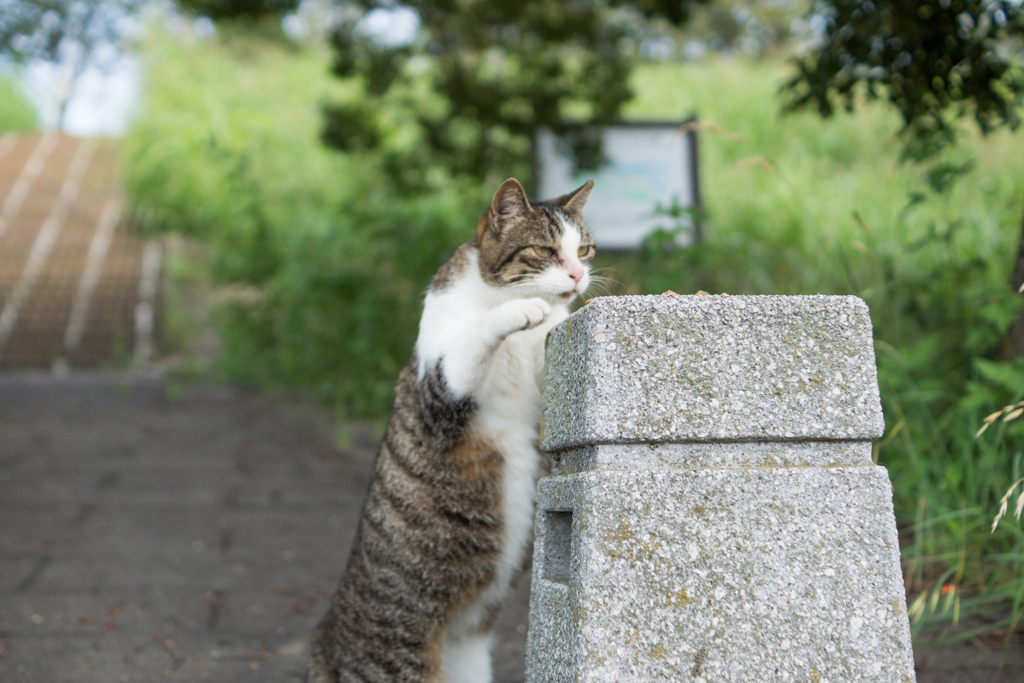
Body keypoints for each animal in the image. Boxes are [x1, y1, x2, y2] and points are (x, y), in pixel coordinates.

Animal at [309, 178, 598, 683]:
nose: (578, 276)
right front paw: (521, 310)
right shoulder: (441, 395)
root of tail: (325, 642)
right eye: (544, 251)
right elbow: (476, 335)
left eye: (583, 250)